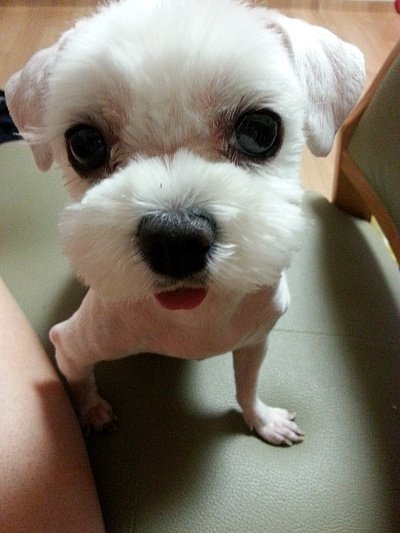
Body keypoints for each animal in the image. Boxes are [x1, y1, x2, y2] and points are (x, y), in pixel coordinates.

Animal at [5, 0, 364, 446]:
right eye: (84, 144)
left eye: (260, 129)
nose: (175, 240)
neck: (195, 318)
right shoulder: (71, 344)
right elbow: (79, 380)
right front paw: (90, 412)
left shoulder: (255, 341)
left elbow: (247, 386)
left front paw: (262, 419)